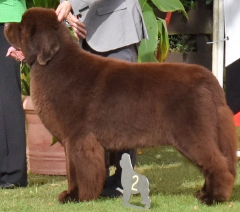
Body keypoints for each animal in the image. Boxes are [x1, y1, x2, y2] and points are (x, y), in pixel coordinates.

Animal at [3, 8, 238, 205]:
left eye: (21, 26)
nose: (5, 25)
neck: (55, 64)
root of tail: (209, 79)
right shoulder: (72, 141)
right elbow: (72, 170)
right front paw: (74, 194)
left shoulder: (79, 138)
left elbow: (81, 170)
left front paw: (77, 197)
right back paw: (204, 193)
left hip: (193, 135)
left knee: (218, 164)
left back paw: (214, 198)